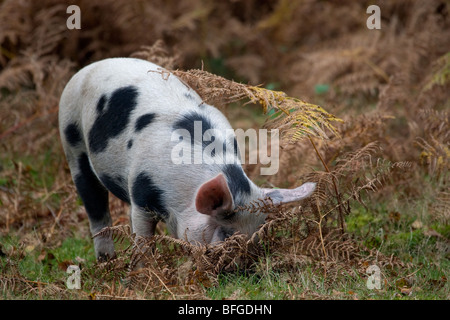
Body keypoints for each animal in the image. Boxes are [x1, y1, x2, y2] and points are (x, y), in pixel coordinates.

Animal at [58, 57, 314, 262]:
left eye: (258, 233)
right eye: (226, 234)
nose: (246, 267)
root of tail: (92, 66)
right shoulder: (141, 193)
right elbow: (143, 238)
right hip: (71, 140)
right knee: (96, 209)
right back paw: (106, 262)